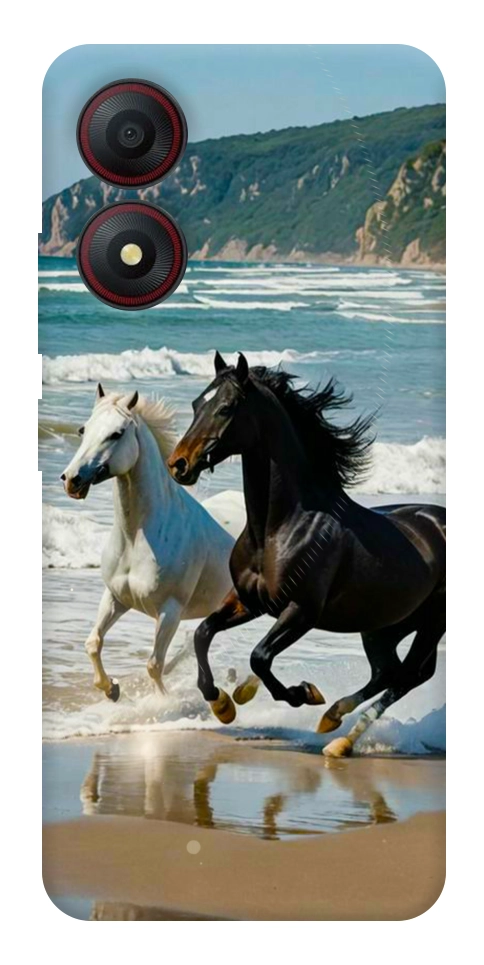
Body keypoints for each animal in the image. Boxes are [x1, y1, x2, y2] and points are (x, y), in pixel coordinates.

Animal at [61, 383, 234, 701]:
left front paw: (161, 703)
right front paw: (111, 689)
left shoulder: (170, 611)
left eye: (116, 433)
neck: (137, 538)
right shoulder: (116, 597)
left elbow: (154, 664)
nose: (71, 480)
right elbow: (93, 642)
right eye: (83, 430)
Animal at [167, 352, 446, 757]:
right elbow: (203, 634)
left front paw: (303, 693)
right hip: (383, 625)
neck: (279, 528)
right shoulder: (249, 601)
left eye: (226, 407)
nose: (179, 464)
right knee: (388, 672)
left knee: (408, 676)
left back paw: (339, 737)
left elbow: (260, 657)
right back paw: (333, 721)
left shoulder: (301, 611)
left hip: (430, 624)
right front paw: (222, 704)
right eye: (195, 404)